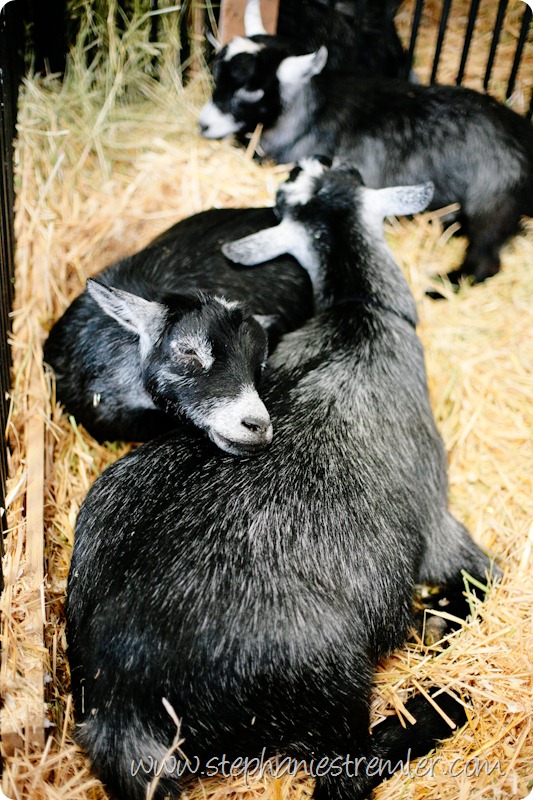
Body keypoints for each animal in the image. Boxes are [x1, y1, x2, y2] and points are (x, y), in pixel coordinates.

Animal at [199, 23, 533, 285]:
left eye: (250, 90)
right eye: (216, 76)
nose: (203, 125)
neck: (312, 108)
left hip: (493, 201)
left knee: (485, 260)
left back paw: (441, 283)